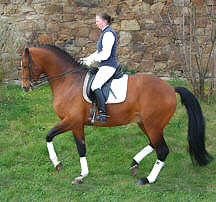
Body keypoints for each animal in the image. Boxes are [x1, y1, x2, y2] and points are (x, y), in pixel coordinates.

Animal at [21, 45, 212, 185]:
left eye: (25, 65)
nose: (25, 87)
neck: (68, 81)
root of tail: (171, 88)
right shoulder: (77, 124)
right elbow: (79, 147)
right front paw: (79, 173)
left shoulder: (72, 121)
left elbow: (52, 137)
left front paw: (61, 165)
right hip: (146, 123)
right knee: (154, 144)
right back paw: (134, 163)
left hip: (153, 124)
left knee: (162, 149)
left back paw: (148, 179)